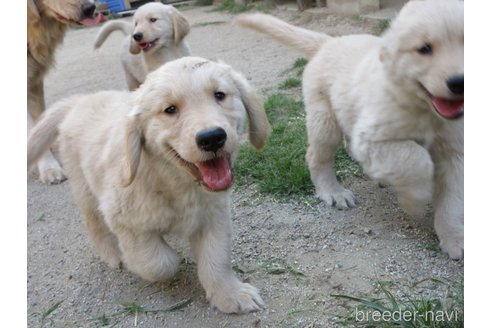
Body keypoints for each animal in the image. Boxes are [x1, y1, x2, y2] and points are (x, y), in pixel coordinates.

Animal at [27, 57, 270, 316]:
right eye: (170, 110)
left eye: (219, 95)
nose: (212, 138)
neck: (174, 181)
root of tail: (80, 100)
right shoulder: (122, 219)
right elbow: (158, 262)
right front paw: (152, 257)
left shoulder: (214, 215)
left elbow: (216, 257)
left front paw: (230, 295)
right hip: (85, 187)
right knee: (94, 223)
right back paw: (113, 253)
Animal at [236, 0, 464, 260]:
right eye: (424, 49)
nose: (459, 83)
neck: (423, 109)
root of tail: (328, 41)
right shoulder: (371, 138)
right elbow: (416, 159)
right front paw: (414, 200)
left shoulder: (455, 153)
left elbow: (452, 201)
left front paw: (454, 238)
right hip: (325, 121)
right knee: (316, 157)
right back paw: (333, 192)